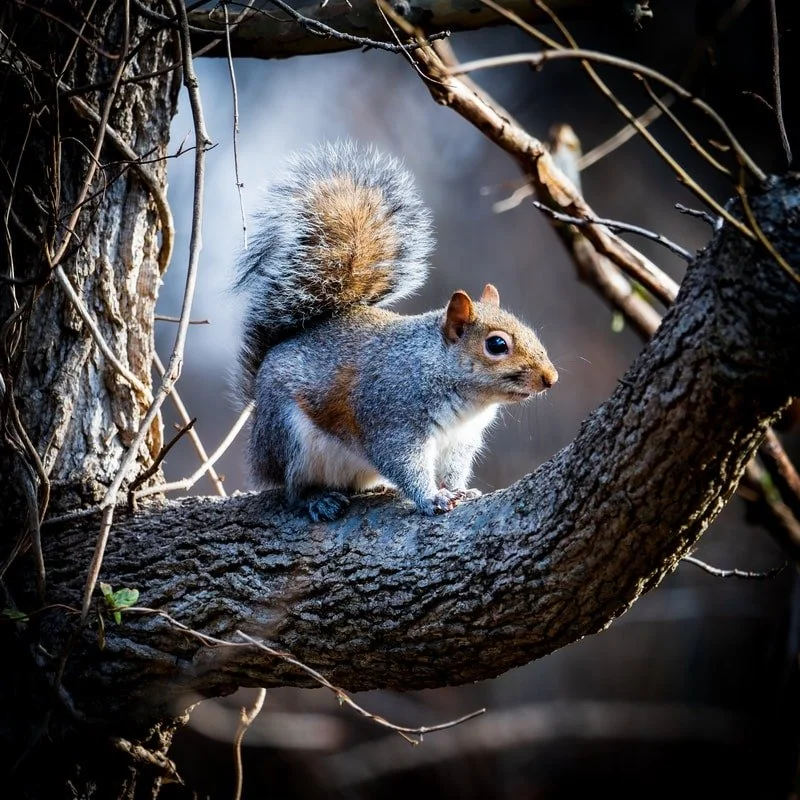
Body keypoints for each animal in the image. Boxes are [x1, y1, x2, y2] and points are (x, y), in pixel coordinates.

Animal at [234, 142, 558, 522]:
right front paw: (431, 498)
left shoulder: (461, 439)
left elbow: (454, 468)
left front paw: (459, 490)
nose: (550, 378)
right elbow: (404, 463)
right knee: (292, 489)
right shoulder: (392, 419)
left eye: (531, 332)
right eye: (496, 344)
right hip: (288, 438)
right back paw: (317, 499)